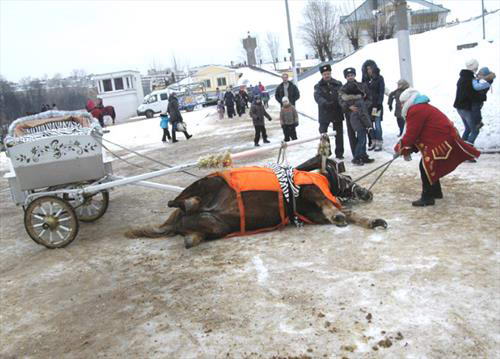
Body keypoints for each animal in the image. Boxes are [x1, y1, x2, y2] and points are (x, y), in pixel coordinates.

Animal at [127, 155, 388, 248]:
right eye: (348, 178)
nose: (368, 193)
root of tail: (176, 222)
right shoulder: (307, 190)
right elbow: (327, 203)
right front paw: (339, 214)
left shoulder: (313, 214)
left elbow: (347, 214)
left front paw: (372, 221)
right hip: (207, 184)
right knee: (178, 200)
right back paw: (184, 202)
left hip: (214, 227)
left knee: (189, 239)